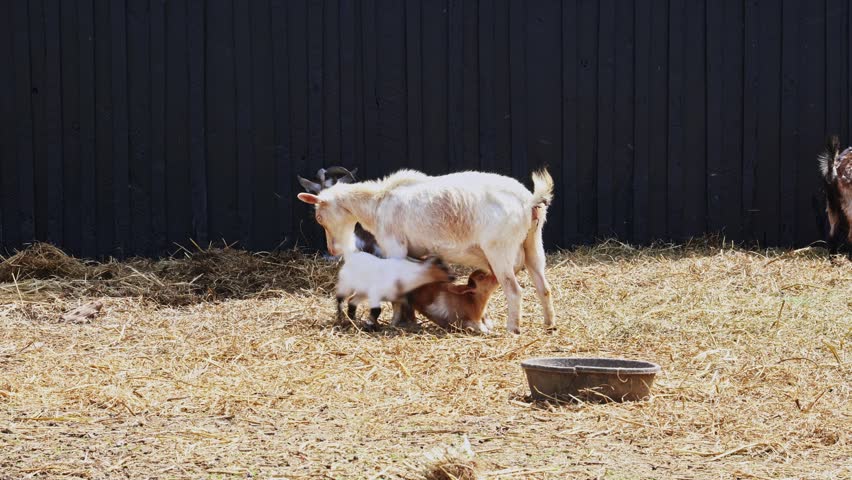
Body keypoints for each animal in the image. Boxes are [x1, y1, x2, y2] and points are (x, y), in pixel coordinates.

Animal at [297, 168, 555, 334]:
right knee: (544, 287)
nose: (333, 248)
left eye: (319, 217)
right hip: (534, 245)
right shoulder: (417, 254)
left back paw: (513, 329)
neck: (378, 203)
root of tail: (528, 201)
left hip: (499, 250)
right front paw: (410, 319)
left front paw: (396, 321)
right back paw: (549, 325)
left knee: (514, 290)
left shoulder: (395, 247)